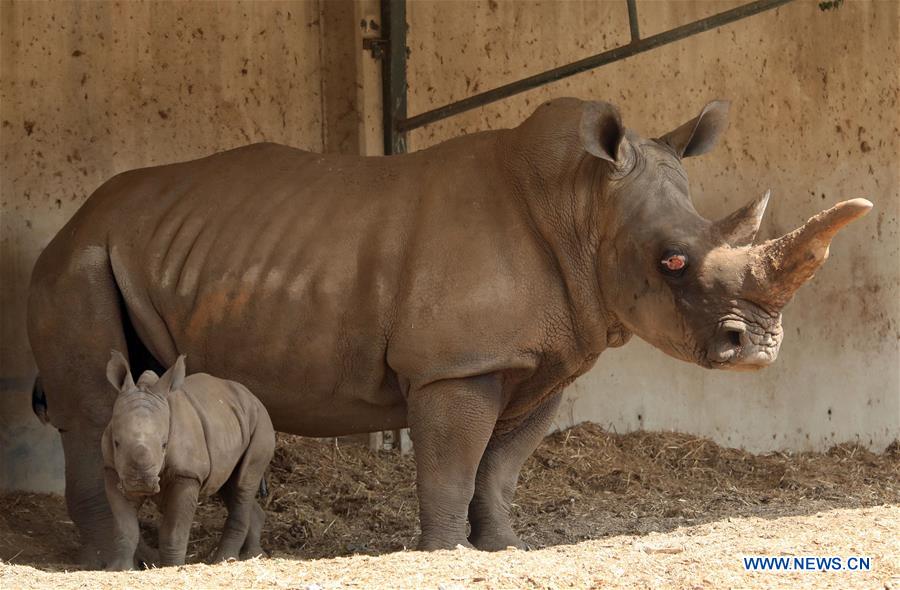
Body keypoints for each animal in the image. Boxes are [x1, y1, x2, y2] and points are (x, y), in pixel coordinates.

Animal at [101, 352, 274, 569]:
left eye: (164, 444)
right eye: (116, 443)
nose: (140, 483)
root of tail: (254, 397)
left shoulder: (188, 474)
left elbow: (175, 530)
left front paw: (172, 567)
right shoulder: (112, 469)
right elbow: (125, 527)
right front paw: (120, 569)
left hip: (262, 424)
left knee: (243, 484)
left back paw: (225, 560)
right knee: (231, 486)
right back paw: (253, 556)